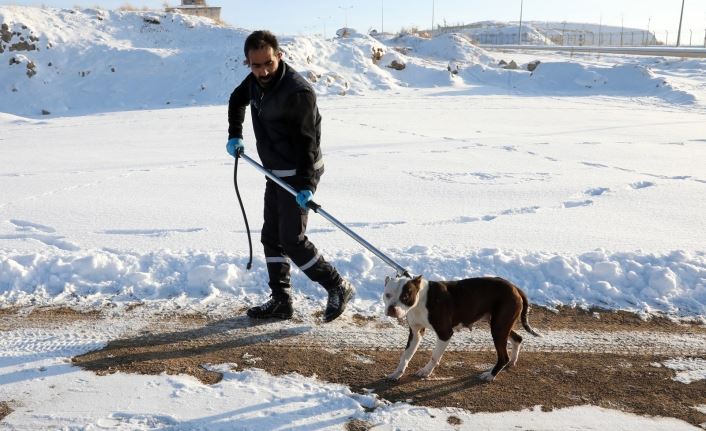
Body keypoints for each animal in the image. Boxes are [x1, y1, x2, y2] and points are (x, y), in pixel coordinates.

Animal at [383, 275, 541, 382]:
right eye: (387, 295)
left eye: (405, 296)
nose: (392, 309)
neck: (420, 300)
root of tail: (515, 287)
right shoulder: (416, 333)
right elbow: (405, 356)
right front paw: (397, 373)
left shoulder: (445, 333)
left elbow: (434, 356)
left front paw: (426, 372)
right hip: (500, 324)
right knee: (517, 338)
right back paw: (512, 361)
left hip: (498, 328)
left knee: (503, 356)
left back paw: (490, 375)